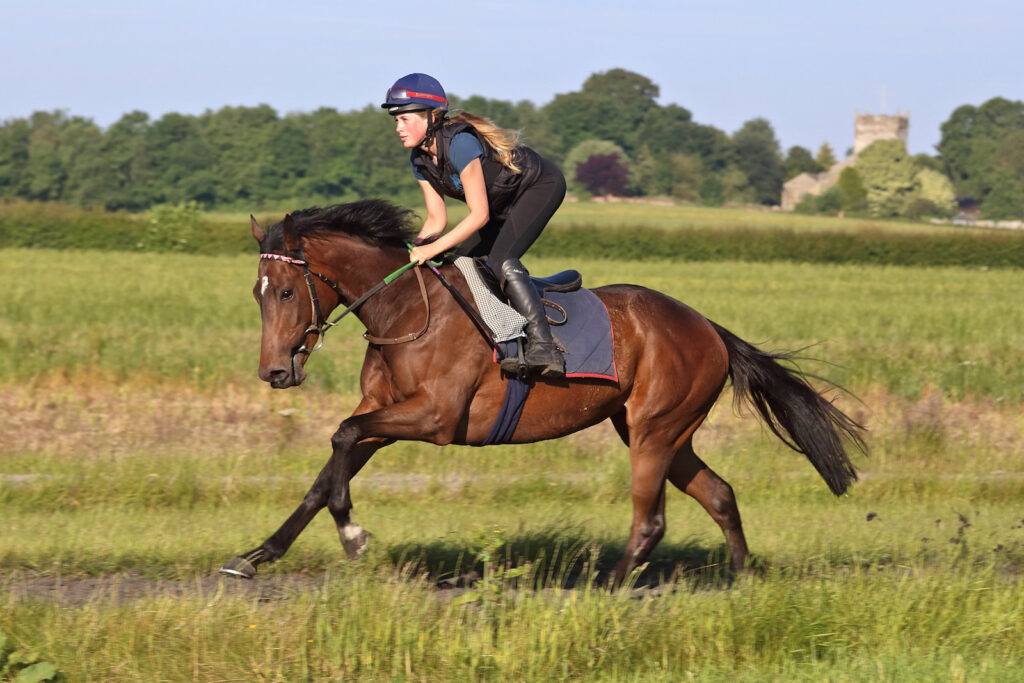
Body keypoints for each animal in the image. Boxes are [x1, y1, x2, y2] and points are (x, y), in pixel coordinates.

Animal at [220, 200, 868, 585]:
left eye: (284, 291)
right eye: (256, 292)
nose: (273, 373)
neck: (403, 310)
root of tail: (709, 327)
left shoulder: (434, 418)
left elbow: (342, 436)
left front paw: (353, 536)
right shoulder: (386, 413)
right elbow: (328, 470)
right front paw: (257, 555)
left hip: (655, 430)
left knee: (651, 520)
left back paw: (604, 588)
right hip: (661, 430)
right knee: (720, 494)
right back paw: (741, 580)